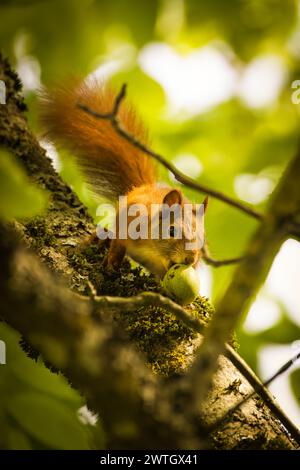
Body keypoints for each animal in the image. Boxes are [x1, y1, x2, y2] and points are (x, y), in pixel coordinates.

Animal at [39, 79, 207, 280]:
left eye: (202, 241)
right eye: (172, 230)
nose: (190, 259)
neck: (153, 251)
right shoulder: (129, 219)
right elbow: (118, 242)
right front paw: (112, 261)